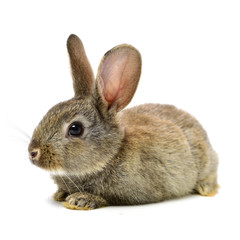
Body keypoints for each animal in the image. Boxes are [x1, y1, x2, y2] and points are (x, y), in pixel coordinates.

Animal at [28, 34, 219, 210]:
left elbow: (110, 198)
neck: (112, 154)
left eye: (75, 129)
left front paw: (81, 200)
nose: (33, 153)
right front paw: (61, 194)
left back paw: (205, 188)